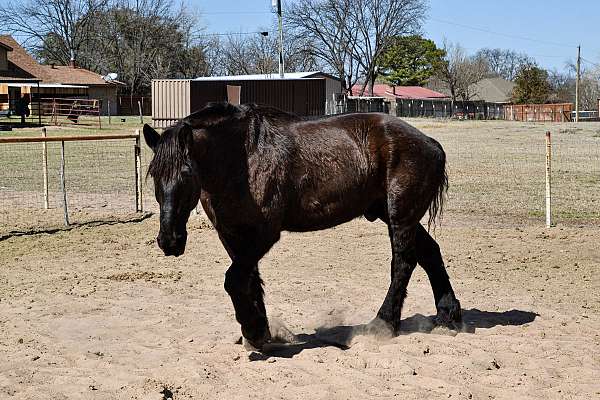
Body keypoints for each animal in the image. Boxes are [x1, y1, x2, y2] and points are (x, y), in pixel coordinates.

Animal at [143, 103, 462, 350]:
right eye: (154, 175)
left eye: (186, 174)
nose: (169, 241)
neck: (242, 158)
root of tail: (430, 143)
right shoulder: (232, 235)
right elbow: (248, 280)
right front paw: (261, 331)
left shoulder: (264, 234)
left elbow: (233, 279)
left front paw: (254, 332)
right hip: (395, 215)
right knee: (430, 253)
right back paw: (447, 316)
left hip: (401, 216)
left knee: (403, 263)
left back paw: (382, 324)